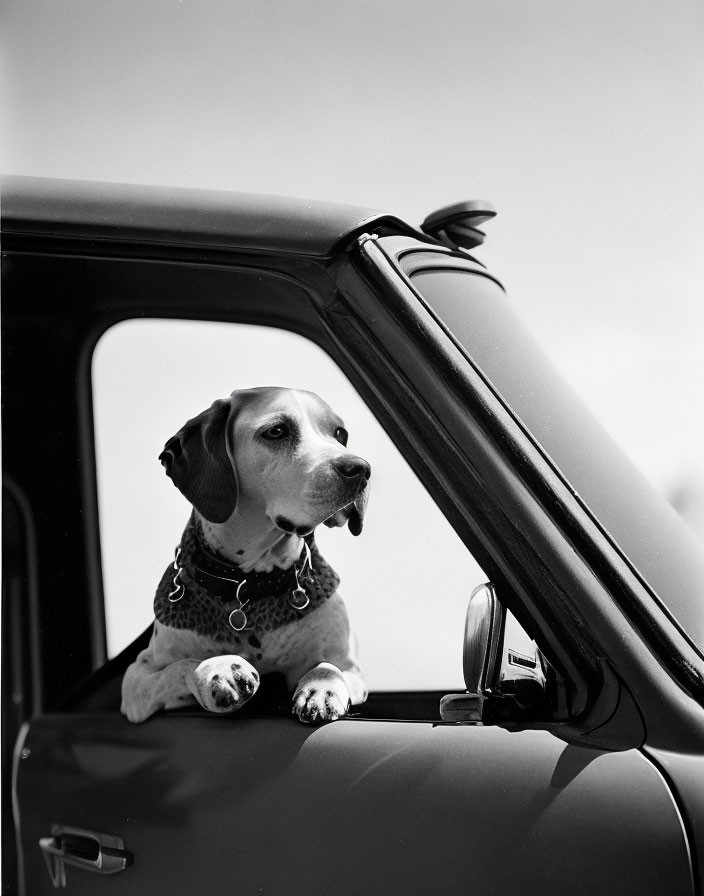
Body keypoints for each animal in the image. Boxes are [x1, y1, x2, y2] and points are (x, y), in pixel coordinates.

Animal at [119, 388, 374, 724]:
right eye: (276, 431)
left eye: (340, 434)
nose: (361, 469)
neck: (252, 582)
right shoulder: (136, 680)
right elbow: (179, 667)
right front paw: (216, 670)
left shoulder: (349, 665)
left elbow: (329, 666)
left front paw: (321, 688)